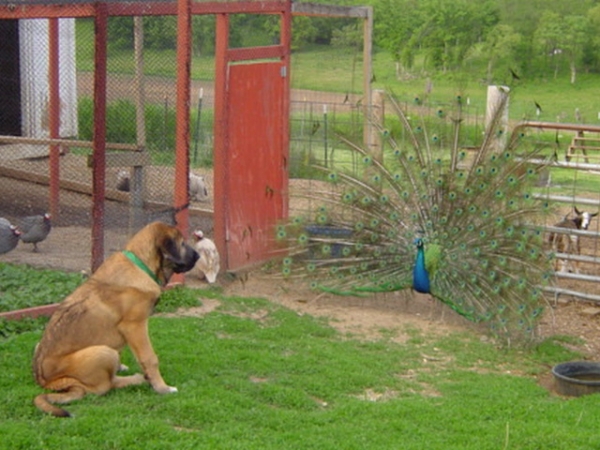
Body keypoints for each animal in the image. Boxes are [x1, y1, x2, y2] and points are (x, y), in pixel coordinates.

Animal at [31, 222, 199, 418]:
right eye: (182, 243)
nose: (198, 256)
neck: (141, 265)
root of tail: (47, 382)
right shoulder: (135, 326)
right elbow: (150, 358)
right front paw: (162, 387)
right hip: (103, 351)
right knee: (104, 386)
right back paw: (137, 379)